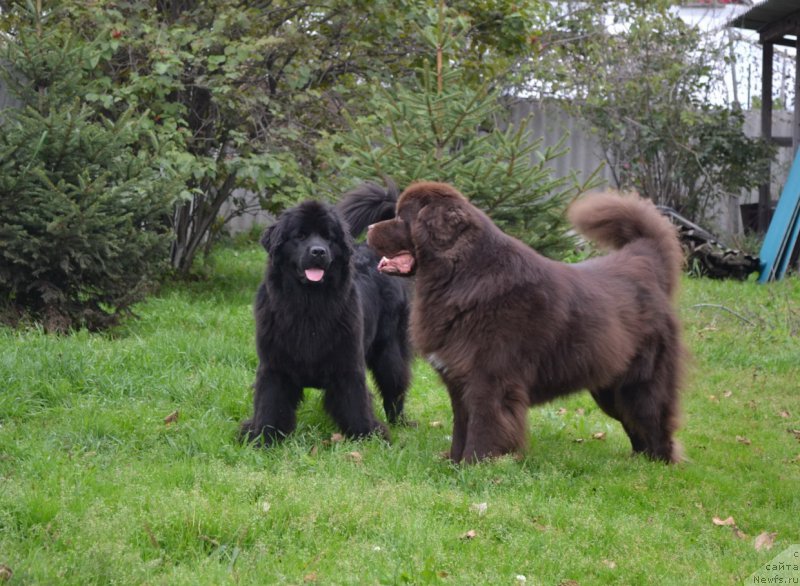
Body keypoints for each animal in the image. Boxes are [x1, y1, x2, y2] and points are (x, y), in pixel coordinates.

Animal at [241, 182, 410, 442]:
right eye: (300, 236)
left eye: (329, 237)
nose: (318, 251)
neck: (308, 305)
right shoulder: (273, 365)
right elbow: (270, 402)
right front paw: (263, 437)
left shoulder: (348, 363)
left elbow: (356, 402)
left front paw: (367, 436)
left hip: (389, 350)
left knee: (395, 385)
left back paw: (400, 422)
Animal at [366, 180, 684, 464]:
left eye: (400, 217)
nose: (368, 229)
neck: (460, 277)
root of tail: (643, 259)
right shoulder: (458, 379)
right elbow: (461, 424)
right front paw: (454, 462)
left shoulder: (489, 379)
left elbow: (483, 424)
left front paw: (474, 465)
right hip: (608, 385)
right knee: (634, 421)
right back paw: (638, 460)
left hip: (640, 382)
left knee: (653, 419)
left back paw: (658, 464)